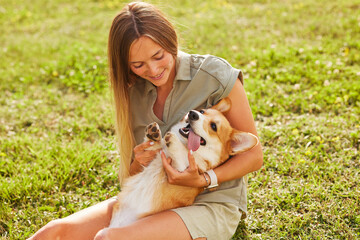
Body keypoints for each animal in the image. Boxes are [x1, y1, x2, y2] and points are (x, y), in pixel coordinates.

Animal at [108, 97, 258, 227]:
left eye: (214, 126)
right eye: (202, 111)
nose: (193, 114)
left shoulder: (181, 170)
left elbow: (180, 154)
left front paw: (173, 140)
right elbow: (155, 146)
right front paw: (154, 135)